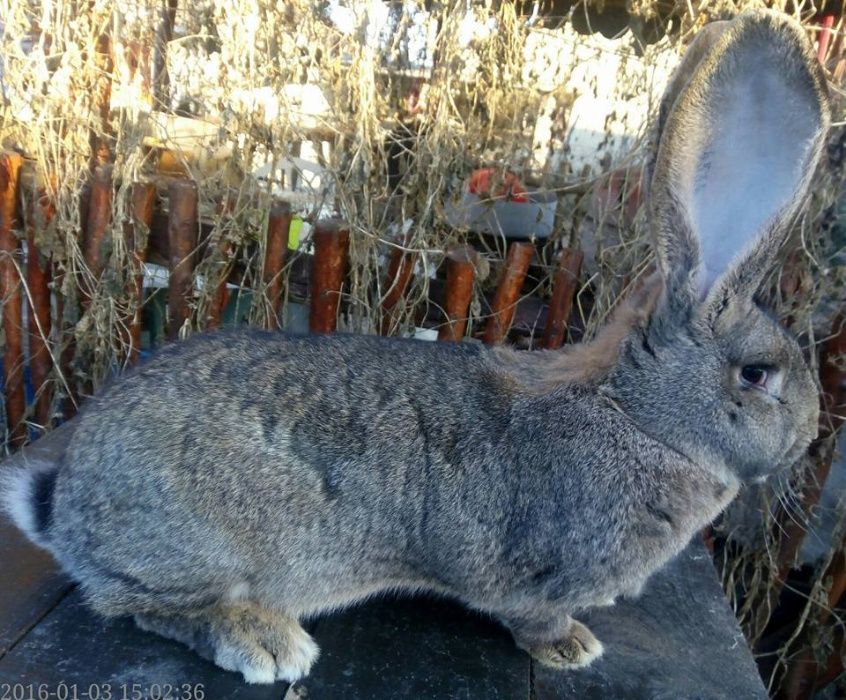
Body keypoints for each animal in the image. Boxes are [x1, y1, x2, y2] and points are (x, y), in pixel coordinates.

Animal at [0, 8, 832, 688]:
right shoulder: (535, 575)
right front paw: (573, 647)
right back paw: (266, 643)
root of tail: (64, 505)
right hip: (191, 548)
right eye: (758, 374)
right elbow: (533, 617)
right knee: (140, 603)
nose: (810, 434)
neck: (638, 414)